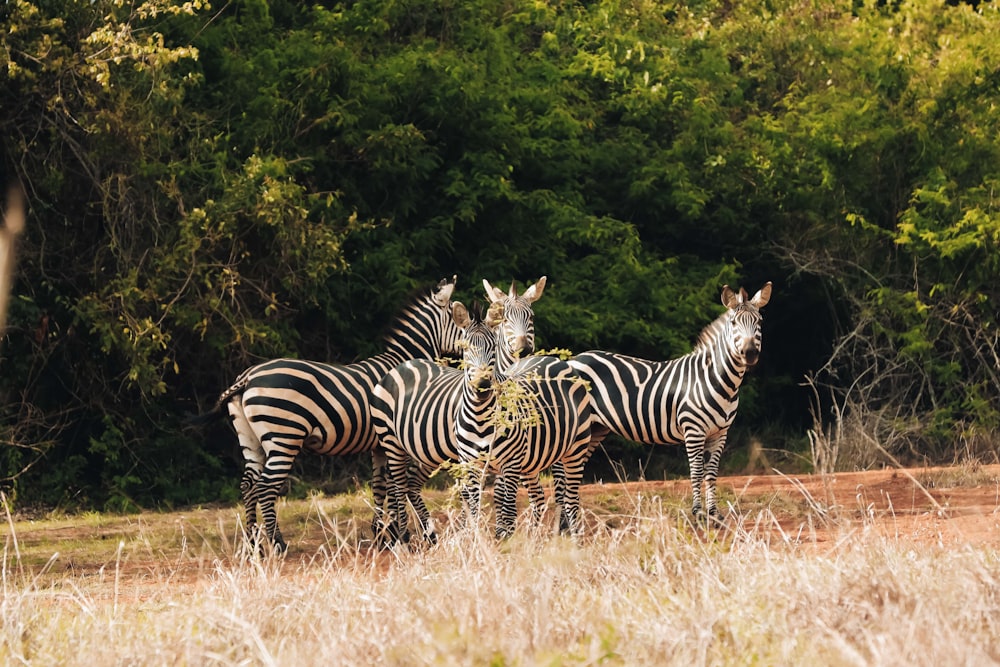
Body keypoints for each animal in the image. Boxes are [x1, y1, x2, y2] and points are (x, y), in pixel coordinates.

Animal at [189, 276, 462, 552]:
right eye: (463, 321)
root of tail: (247, 378)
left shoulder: (378, 445)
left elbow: (380, 486)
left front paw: (382, 534)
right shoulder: (391, 439)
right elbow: (395, 485)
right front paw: (396, 534)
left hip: (251, 439)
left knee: (248, 485)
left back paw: (254, 544)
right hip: (284, 437)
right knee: (266, 488)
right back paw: (277, 544)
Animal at [372, 276, 552, 544]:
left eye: (530, 316)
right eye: (505, 319)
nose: (522, 349)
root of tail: (402, 365)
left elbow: (498, 493)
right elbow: (486, 495)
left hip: (425, 450)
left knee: (410, 483)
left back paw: (426, 535)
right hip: (392, 441)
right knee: (398, 484)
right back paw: (400, 536)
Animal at [572, 282, 772, 520]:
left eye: (759, 322)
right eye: (733, 323)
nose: (750, 353)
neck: (716, 379)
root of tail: (575, 359)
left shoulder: (720, 433)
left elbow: (711, 473)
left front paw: (714, 514)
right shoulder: (693, 430)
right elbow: (696, 471)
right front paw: (698, 512)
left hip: (595, 428)